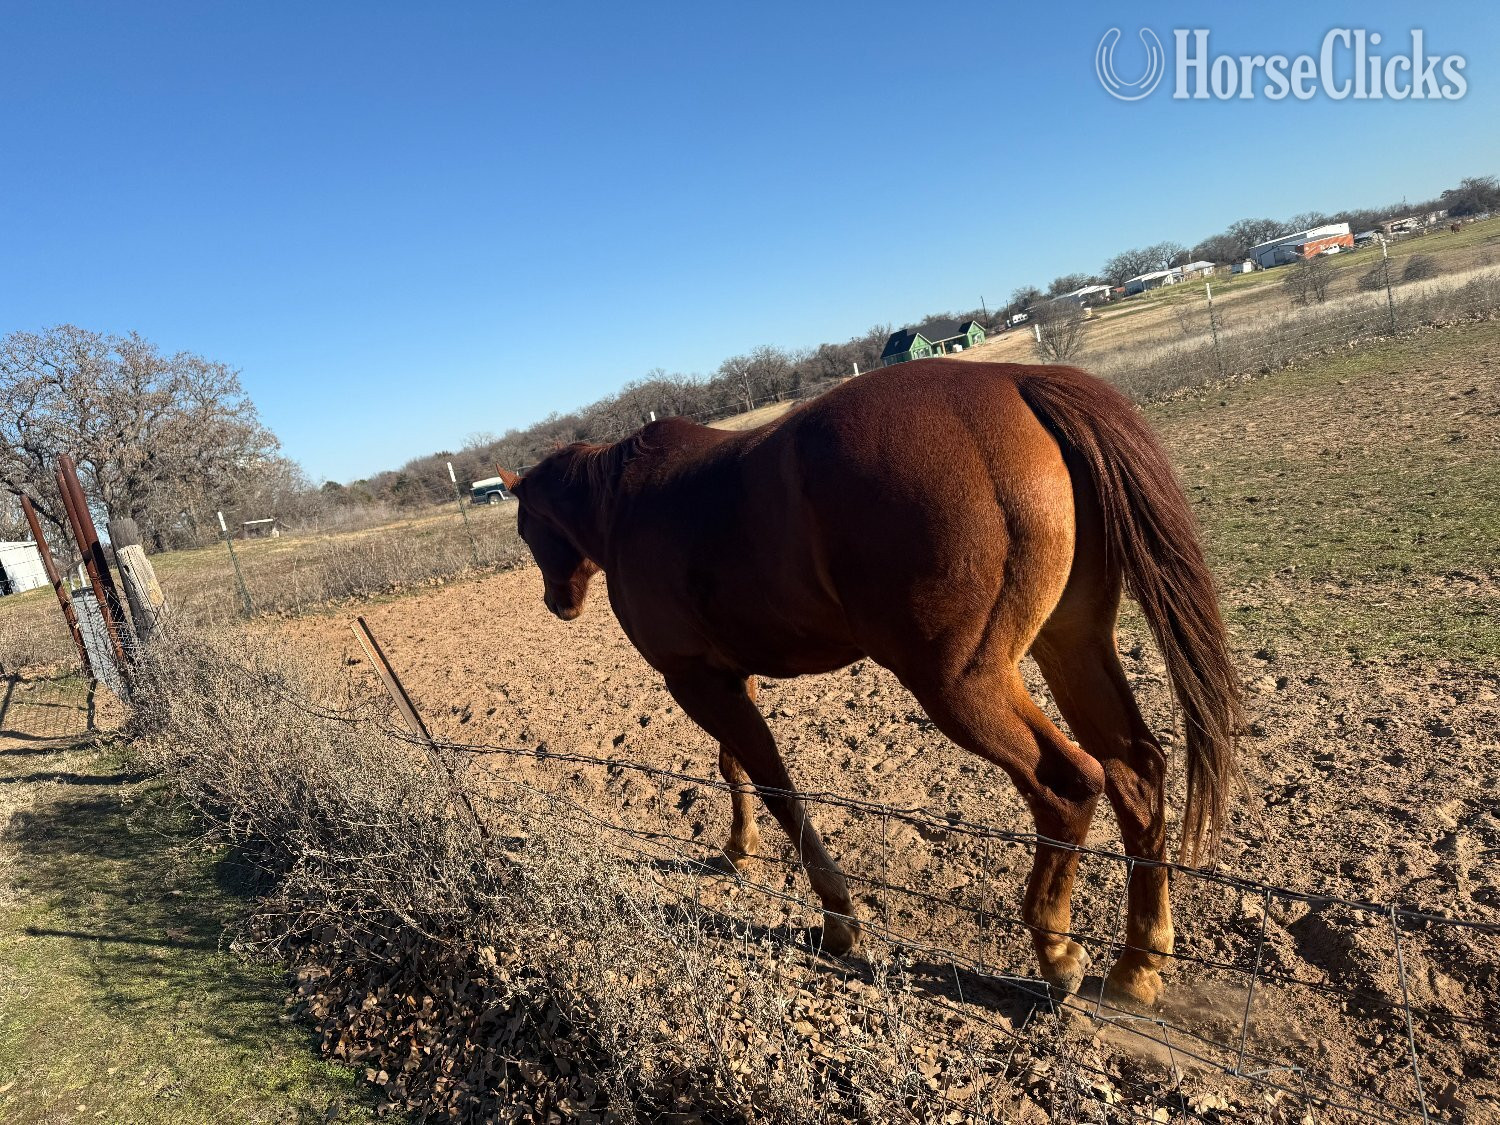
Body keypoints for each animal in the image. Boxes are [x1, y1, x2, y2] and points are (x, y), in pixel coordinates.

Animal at [495, 358, 1242, 1007]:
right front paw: (738, 850)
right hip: (1071, 643)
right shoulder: (724, 675)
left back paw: (1056, 953)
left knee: (1070, 784)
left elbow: (778, 789)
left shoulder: (691, 679)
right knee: (1135, 772)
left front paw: (838, 920)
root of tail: (1017, 379)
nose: (557, 603)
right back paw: (1138, 965)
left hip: (959, 684)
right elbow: (736, 767)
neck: (624, 504)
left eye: (525, 527)